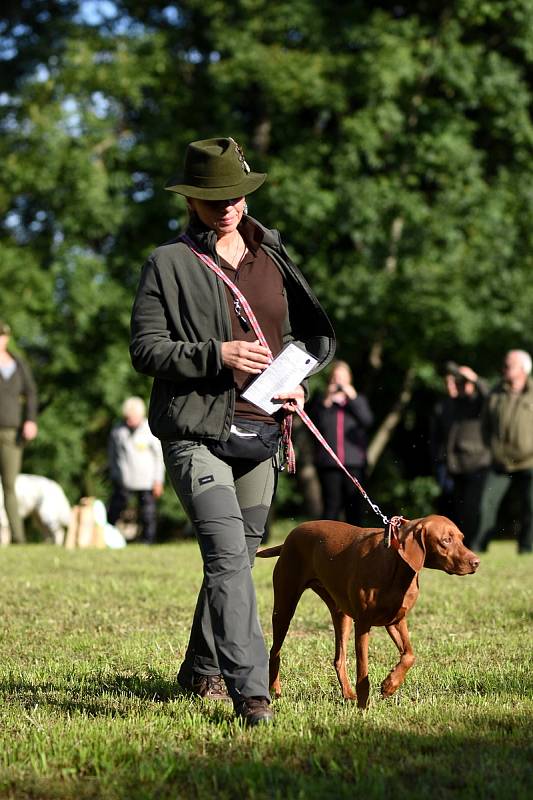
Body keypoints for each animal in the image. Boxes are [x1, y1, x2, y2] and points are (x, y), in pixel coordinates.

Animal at [256, 512, 480, 708]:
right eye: (446, 540)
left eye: (461, 539)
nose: (476, 562)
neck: (396, 567)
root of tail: (289, 537)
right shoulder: (363, 624)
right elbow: (363, 671)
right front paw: (364, 707)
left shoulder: (396, 620)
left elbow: (409, 655)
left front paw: (390, 685)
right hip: (284, 607)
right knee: (274, 651)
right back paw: (274, 689)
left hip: (341, 614)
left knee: (339, 658)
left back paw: (348, 694)